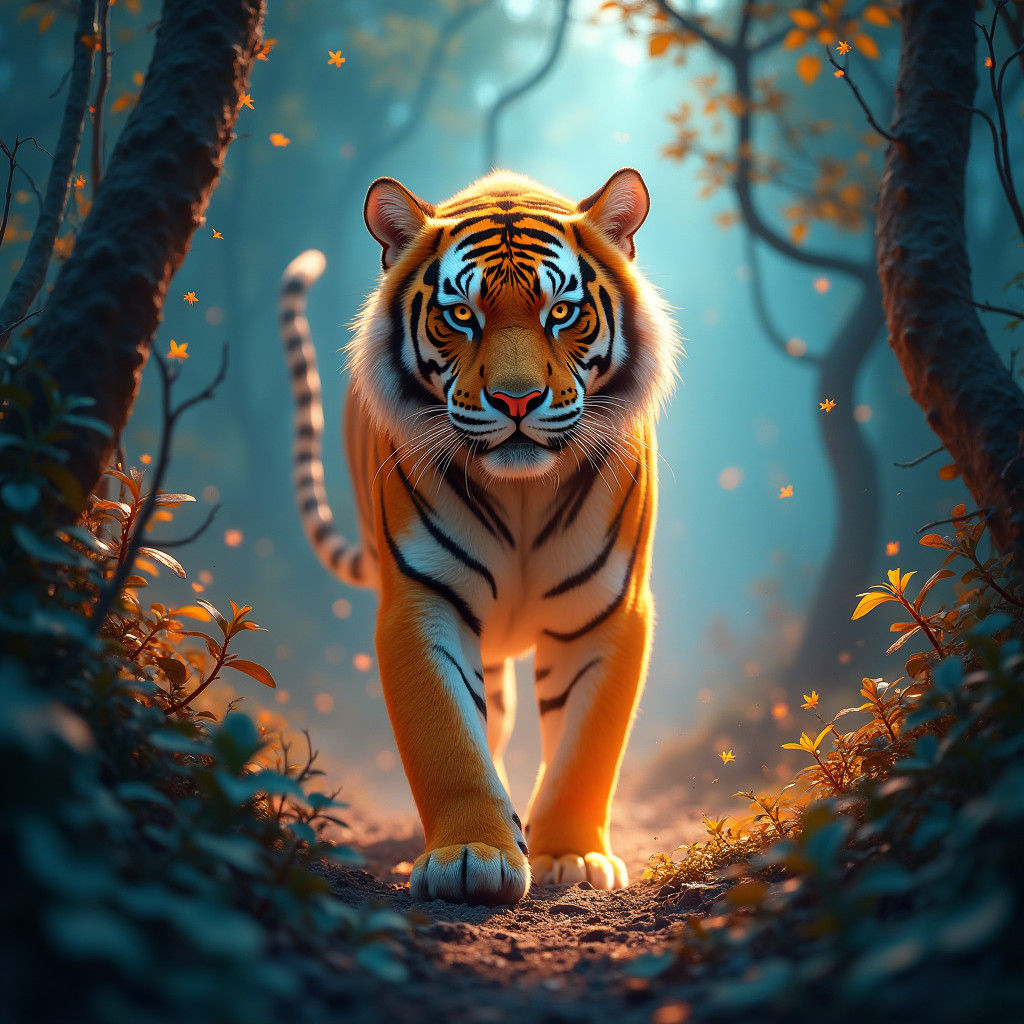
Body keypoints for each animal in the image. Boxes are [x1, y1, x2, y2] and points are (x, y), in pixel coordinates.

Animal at [278, 168, 678, 906]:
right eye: (462, 315)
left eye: (561, 312)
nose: (517, 401)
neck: (522, 493)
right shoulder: (422, 602)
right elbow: (449, 741)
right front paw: (471, 854)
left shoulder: (608, 611)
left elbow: (586, 749)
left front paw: (572, 856)